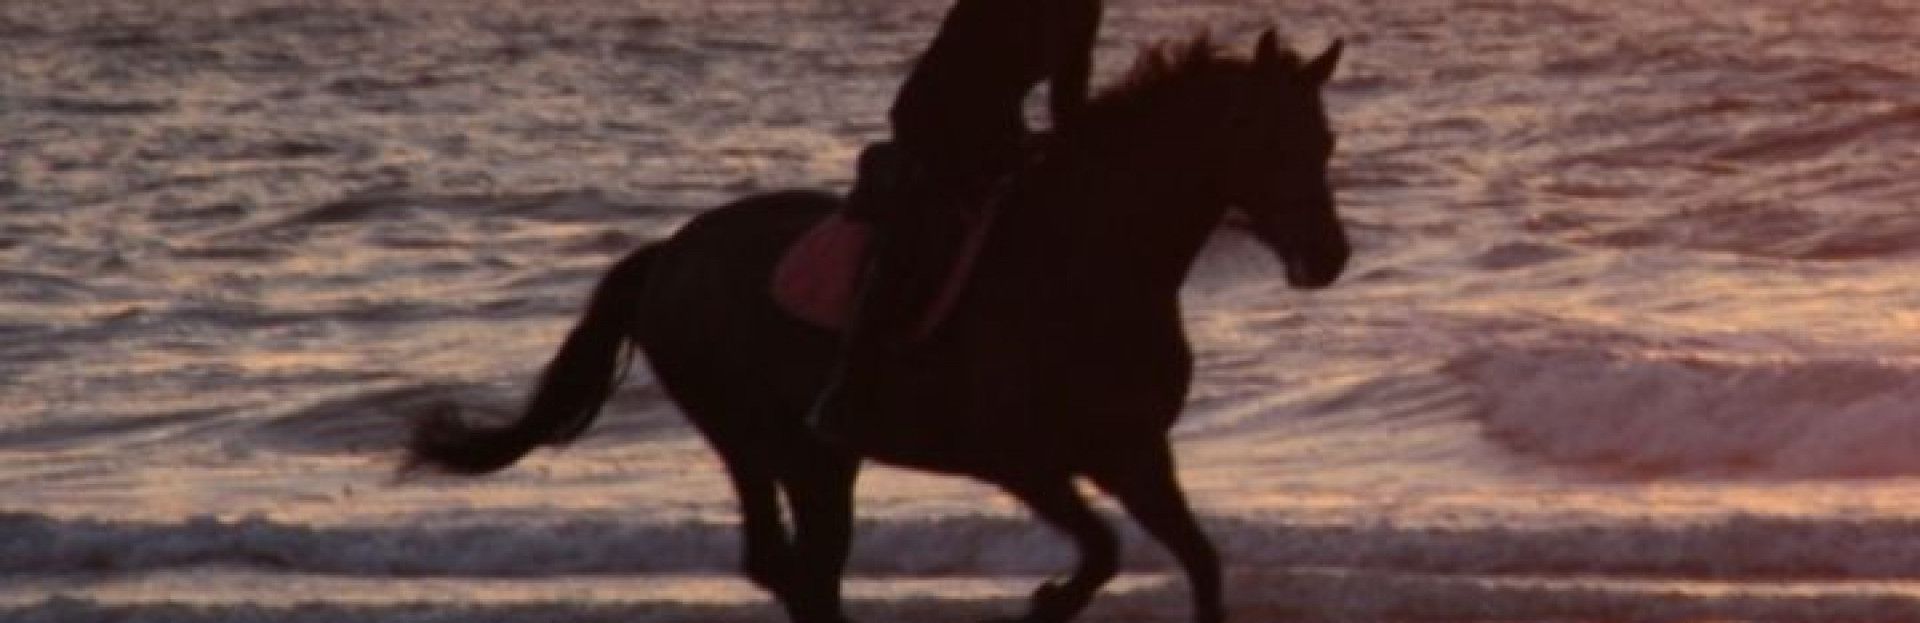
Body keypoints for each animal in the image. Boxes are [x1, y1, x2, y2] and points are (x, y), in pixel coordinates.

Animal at [410, 30, 1351, 623]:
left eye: (1326, 140)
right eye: (1273, 141)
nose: (1330, 257)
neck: (1086, 263)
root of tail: (672, 251)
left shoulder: (1133, 452)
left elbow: (1200, 562)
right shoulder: (1022, 460)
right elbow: (1105, 550)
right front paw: (1049, 599)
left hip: (819, 455)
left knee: (805, 567)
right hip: (758, 435)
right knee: (790, 564)